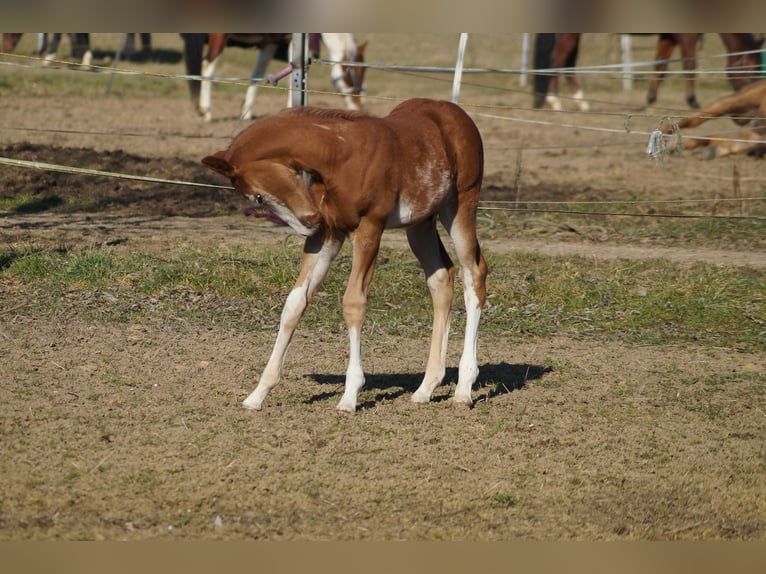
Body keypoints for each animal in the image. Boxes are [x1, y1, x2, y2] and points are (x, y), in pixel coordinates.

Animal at [182, 33, 367, 122]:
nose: (358, 108)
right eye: (356, 75)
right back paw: (206, 111)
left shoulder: (269, 43)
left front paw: (246, 112)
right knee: (208, 67)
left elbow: (256, 75)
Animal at [201, 98, 488, 412]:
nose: (308, 223)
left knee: (473, 275)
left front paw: (350, 396)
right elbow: (294, 303)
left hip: (460, 206)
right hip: (420, 224)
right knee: (440, 278)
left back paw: (464, 389)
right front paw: (257, 394)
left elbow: (353, 303)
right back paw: (426, 388)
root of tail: (456, 113)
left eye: (257, 196)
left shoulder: (369, 229)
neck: (338, 157)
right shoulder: (327, 235)